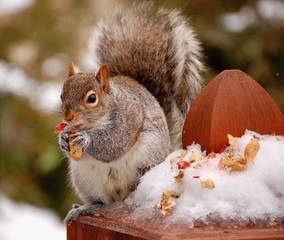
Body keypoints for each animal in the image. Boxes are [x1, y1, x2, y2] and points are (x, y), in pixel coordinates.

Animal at [58, 2, 204, 223]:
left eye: (92, 98)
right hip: (86, 180)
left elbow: (114, 143)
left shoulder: (128, 118)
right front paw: (62, 139)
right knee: (102, 202)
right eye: (61, 95)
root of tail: (122, 199)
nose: (68, 117)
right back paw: (85, 208)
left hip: (148, 158)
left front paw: (85, 139)